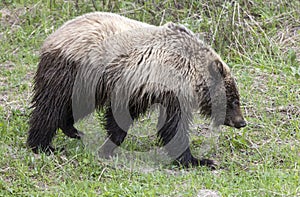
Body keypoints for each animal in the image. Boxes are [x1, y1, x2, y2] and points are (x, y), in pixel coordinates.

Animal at [27, 11, 246, 168]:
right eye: (234, 100)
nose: (241, 122)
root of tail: (51, 37)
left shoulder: (142, 89)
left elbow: (123, 118)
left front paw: (108, 146)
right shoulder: (164, 85)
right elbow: (173, 126)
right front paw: (200, 160)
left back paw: (72, 129)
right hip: (73, 71)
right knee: (50, 107)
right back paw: (42, 145)